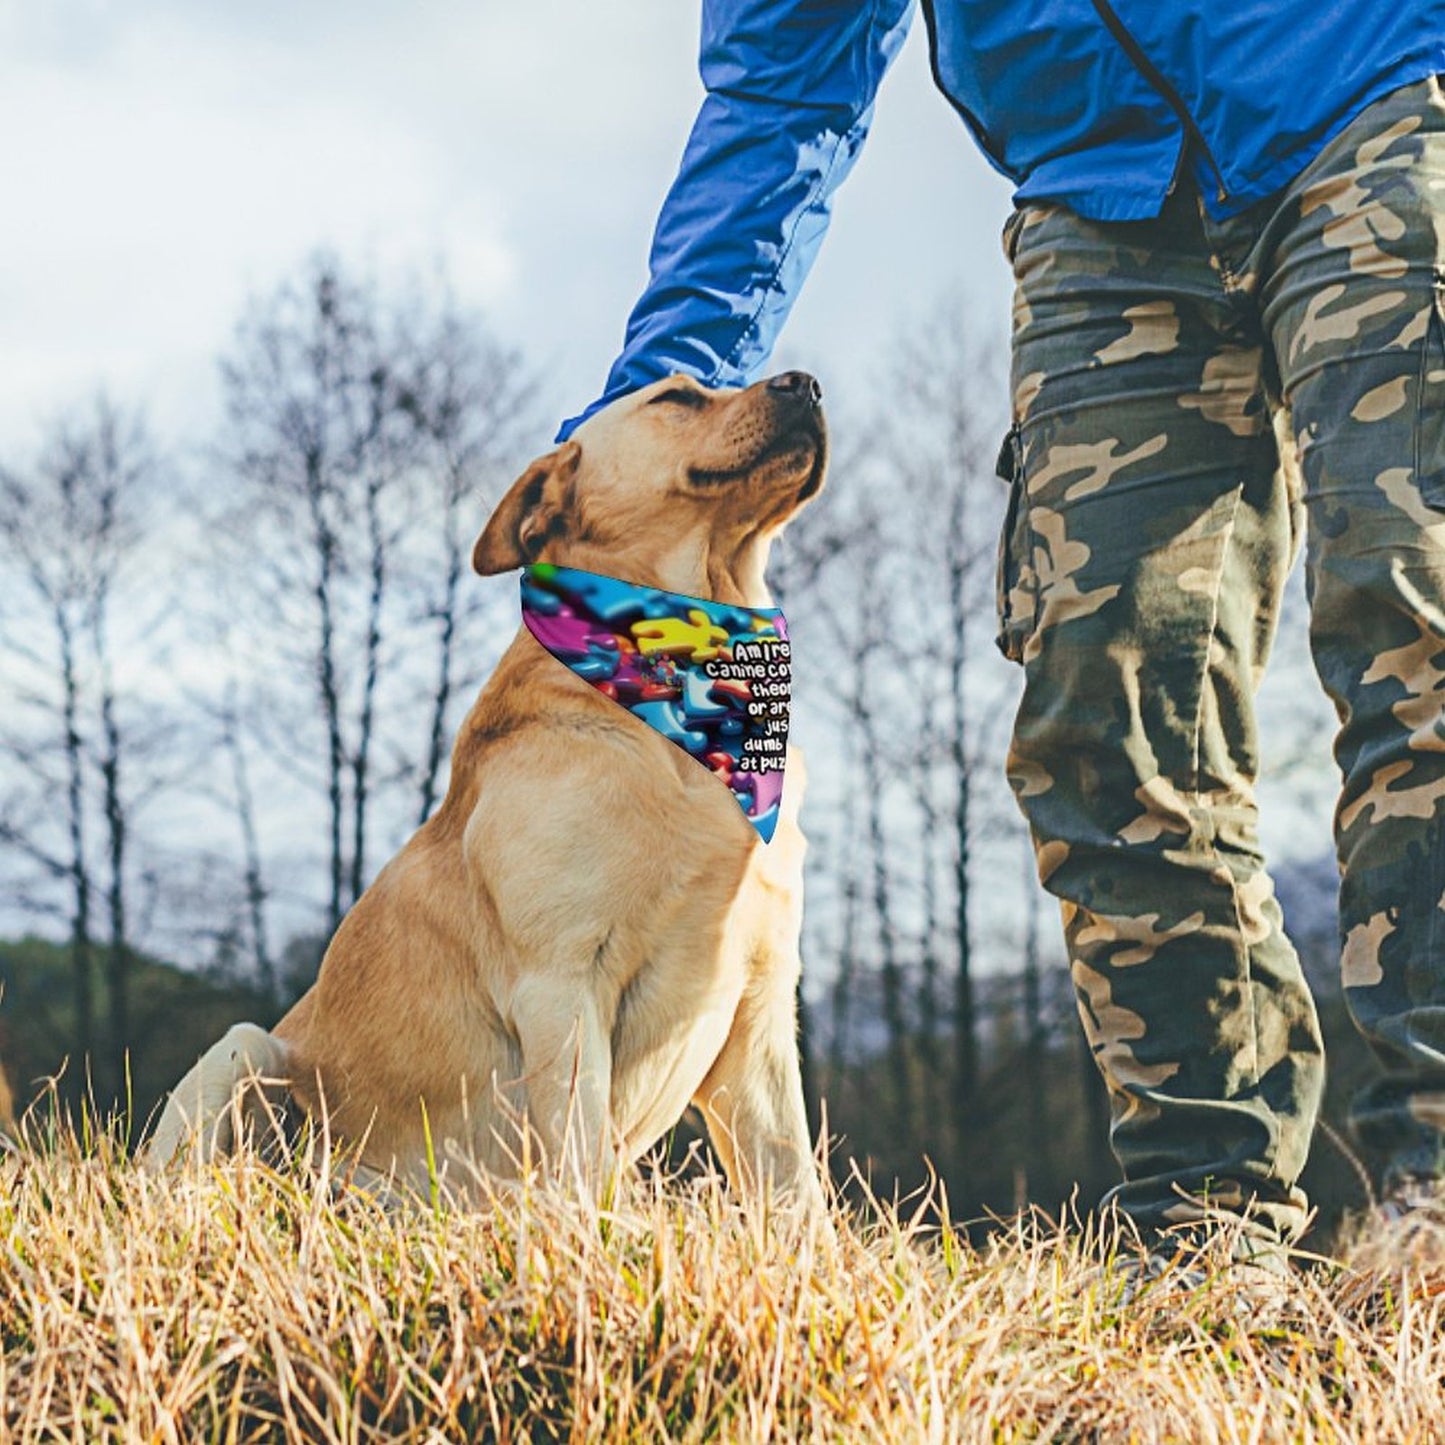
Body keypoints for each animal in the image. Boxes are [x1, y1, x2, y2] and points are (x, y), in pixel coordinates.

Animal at [148, 372, 832, 1208]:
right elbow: (582, 1163)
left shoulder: (760, 1002)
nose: (806, 383)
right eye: (675, 397)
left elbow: (796, 1190)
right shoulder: (561, 982)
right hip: (244, 1051)